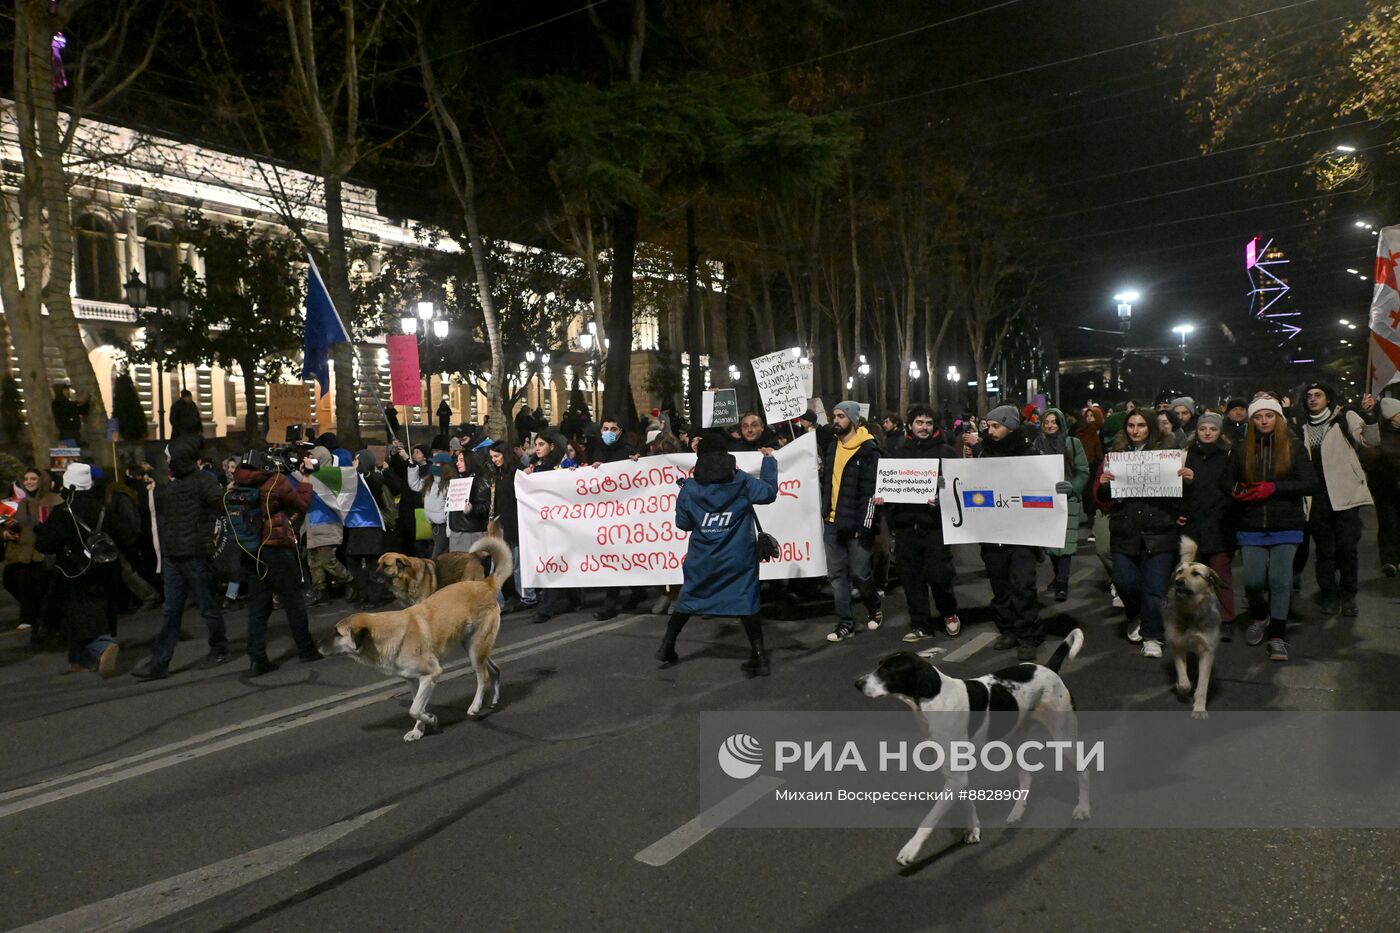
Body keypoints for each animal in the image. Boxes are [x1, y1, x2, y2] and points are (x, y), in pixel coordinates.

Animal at [324, 529, 512, 739]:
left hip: (475, 649)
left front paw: (430, 719)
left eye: (337, 633)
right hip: (473, 646)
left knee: (483, 677)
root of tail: (486, 584)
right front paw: (419, 730)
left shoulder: (431, 674)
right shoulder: (414, 681)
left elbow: (414, 709)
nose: (319, 648)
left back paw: (475, 706)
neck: (384, 634)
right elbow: (416, 706)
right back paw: (493, 700)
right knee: (495, 669)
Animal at [851, 627, 1092, 862]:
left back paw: (1083, 808)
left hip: (1064, 738)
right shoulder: (956, 775)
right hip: (1013, 742)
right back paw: (1017, 812)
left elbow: (929, 819)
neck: (934, 699)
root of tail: (1049, 669)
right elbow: (967, 801)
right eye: (879, 664)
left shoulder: (955, 778)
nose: (857, 683)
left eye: (888, 671)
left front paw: (911, 849)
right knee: (1026, 776)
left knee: (1084, 771)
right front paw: (974, 828)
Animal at [1164, 529, 1220, 717]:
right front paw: (1180, 687)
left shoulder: (1207, 650)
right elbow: (1184, 681)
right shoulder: (1177, 644)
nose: (1178, 582)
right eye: (1180, 572)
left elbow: (1202, 685)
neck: (1190, 611)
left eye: (1196, 574)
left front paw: (1200, 708)